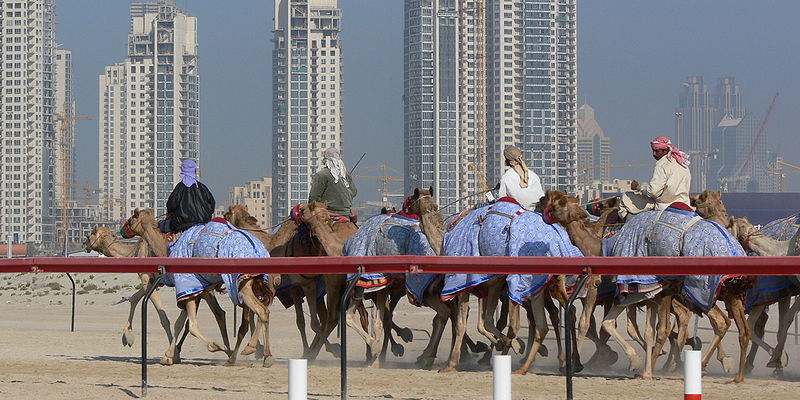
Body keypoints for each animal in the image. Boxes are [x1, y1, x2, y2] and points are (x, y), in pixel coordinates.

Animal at [544, 192, 752, 382]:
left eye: (558, 203)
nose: (545, 213)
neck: (604, 247)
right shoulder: (643, 293)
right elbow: (636, 328)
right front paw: (640, 362)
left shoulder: (623, 289)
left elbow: (591, 323)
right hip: (719, 293)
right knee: (733, 326)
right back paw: (728, 372)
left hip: (700, 289)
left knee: (715, 321)